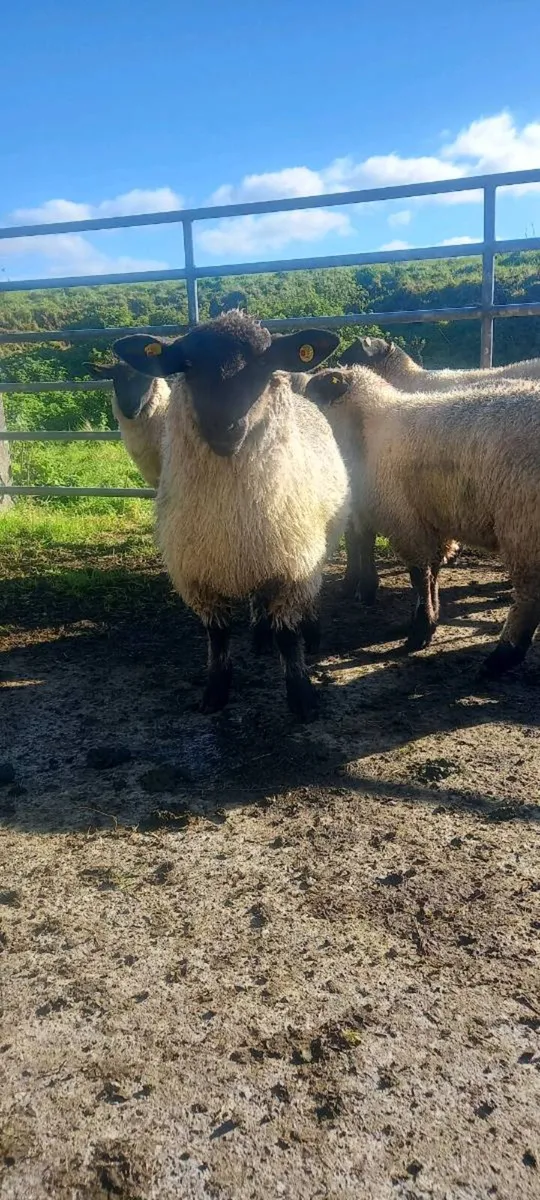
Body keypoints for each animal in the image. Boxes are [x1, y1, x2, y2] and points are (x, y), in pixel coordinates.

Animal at [113, 312, 350, 720]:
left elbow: (288, 637)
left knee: (307, 601)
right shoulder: (198, 577)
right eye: (187, 365)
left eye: (265, 364)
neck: (231, 517)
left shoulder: (291, 569)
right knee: (258, 604)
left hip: (309, 550)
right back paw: (260, 639)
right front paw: (215, 694)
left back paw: (311, 633)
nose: (224, 426)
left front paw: (301, 698)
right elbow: (218, 638)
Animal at [301, 364, 540, 676]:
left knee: (529, 595)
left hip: (522, 524)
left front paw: (420, 631)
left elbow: (419, 575)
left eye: (312, 394)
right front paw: (427, 619)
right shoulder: (429, 520)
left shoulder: (405, 519)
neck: (367, 428)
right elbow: (432, 572)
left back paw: (502, 657)